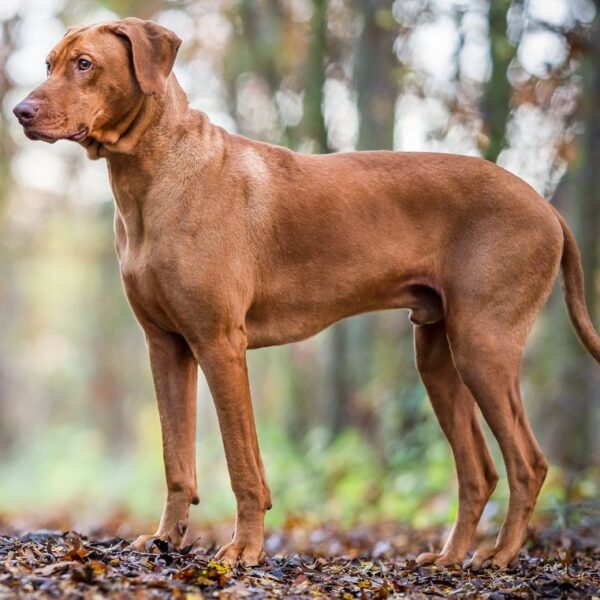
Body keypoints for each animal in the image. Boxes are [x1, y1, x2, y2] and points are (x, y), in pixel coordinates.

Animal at [12, 17, 600, 568]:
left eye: (85, 64)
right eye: (48, 64)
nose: (19, 111)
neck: (153, 176)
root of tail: (547, 207)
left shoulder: (219, 343)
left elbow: (242, 463)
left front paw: (244, 549)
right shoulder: (166, 346)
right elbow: (177, 461)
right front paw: (165, 540)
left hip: (483, 343)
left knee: (528, 463)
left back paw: (499, 556)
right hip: (437, 353)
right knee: (478, 470)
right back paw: (451, 556)